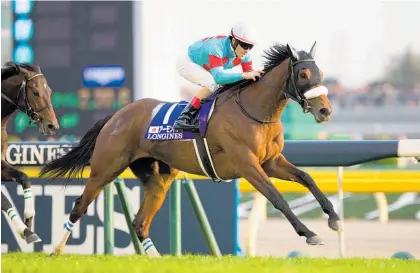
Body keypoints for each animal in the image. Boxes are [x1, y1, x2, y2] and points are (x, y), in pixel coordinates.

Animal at [1, 61, 59, 242]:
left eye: (50, 91)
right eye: (36, 92)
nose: (52, 126)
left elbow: (24, 177)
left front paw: (29, 219)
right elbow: (4, 200)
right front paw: (25, 231)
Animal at [39, 42, 342, 255]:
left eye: (321, 73)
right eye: (303, 73)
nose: (325, 110)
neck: (255, 110)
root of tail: (116, 115)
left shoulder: (271, 162)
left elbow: (307, 177)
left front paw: (334, 218)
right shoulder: (247, 164)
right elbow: (277, 197)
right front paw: (309, 233)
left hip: (159, 179)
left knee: (140, 222)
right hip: (105, 169)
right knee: (80, 205)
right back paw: (55, 250)